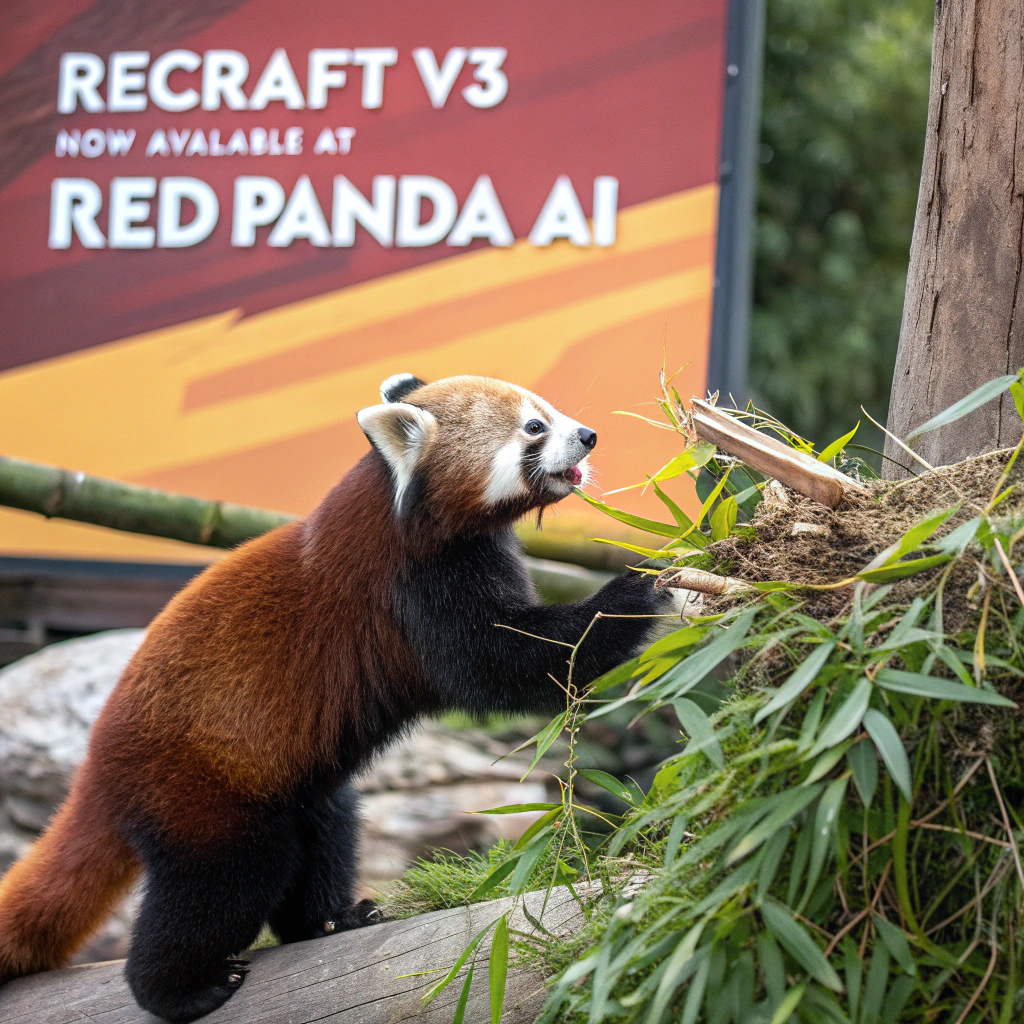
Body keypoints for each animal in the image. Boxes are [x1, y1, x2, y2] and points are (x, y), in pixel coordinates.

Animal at [0, 374, 689, 1021]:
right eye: (534, 428)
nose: (589, 436)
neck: (401, 509)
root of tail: (98, 763)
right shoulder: (414, 590)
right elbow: (512, 662)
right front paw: (642, 588)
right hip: (199, 788)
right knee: (228, 879)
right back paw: (180, 988)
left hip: (289, 777)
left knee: (327, 822)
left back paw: (327, 921)